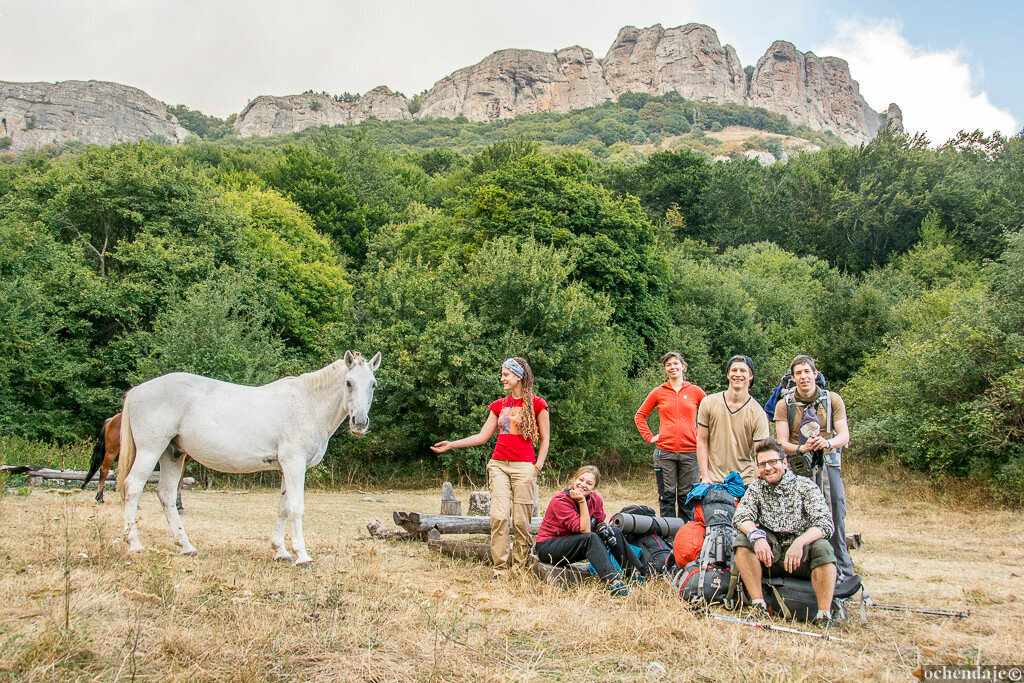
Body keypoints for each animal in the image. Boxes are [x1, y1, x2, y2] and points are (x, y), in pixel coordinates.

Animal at [117, 350, 380, 565]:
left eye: (373, 385)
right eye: (348, 382)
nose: (359, 422)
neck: (307, 404)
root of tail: (139, 390)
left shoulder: (285, 468)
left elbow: (283, 508)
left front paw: (281, 552)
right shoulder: (294, 464)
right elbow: (296, 508)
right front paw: (302, 556)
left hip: (173, 454)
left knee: (167, 495)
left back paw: (186, 547)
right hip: (151, 449)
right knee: (133, 487)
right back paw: (135, 545)